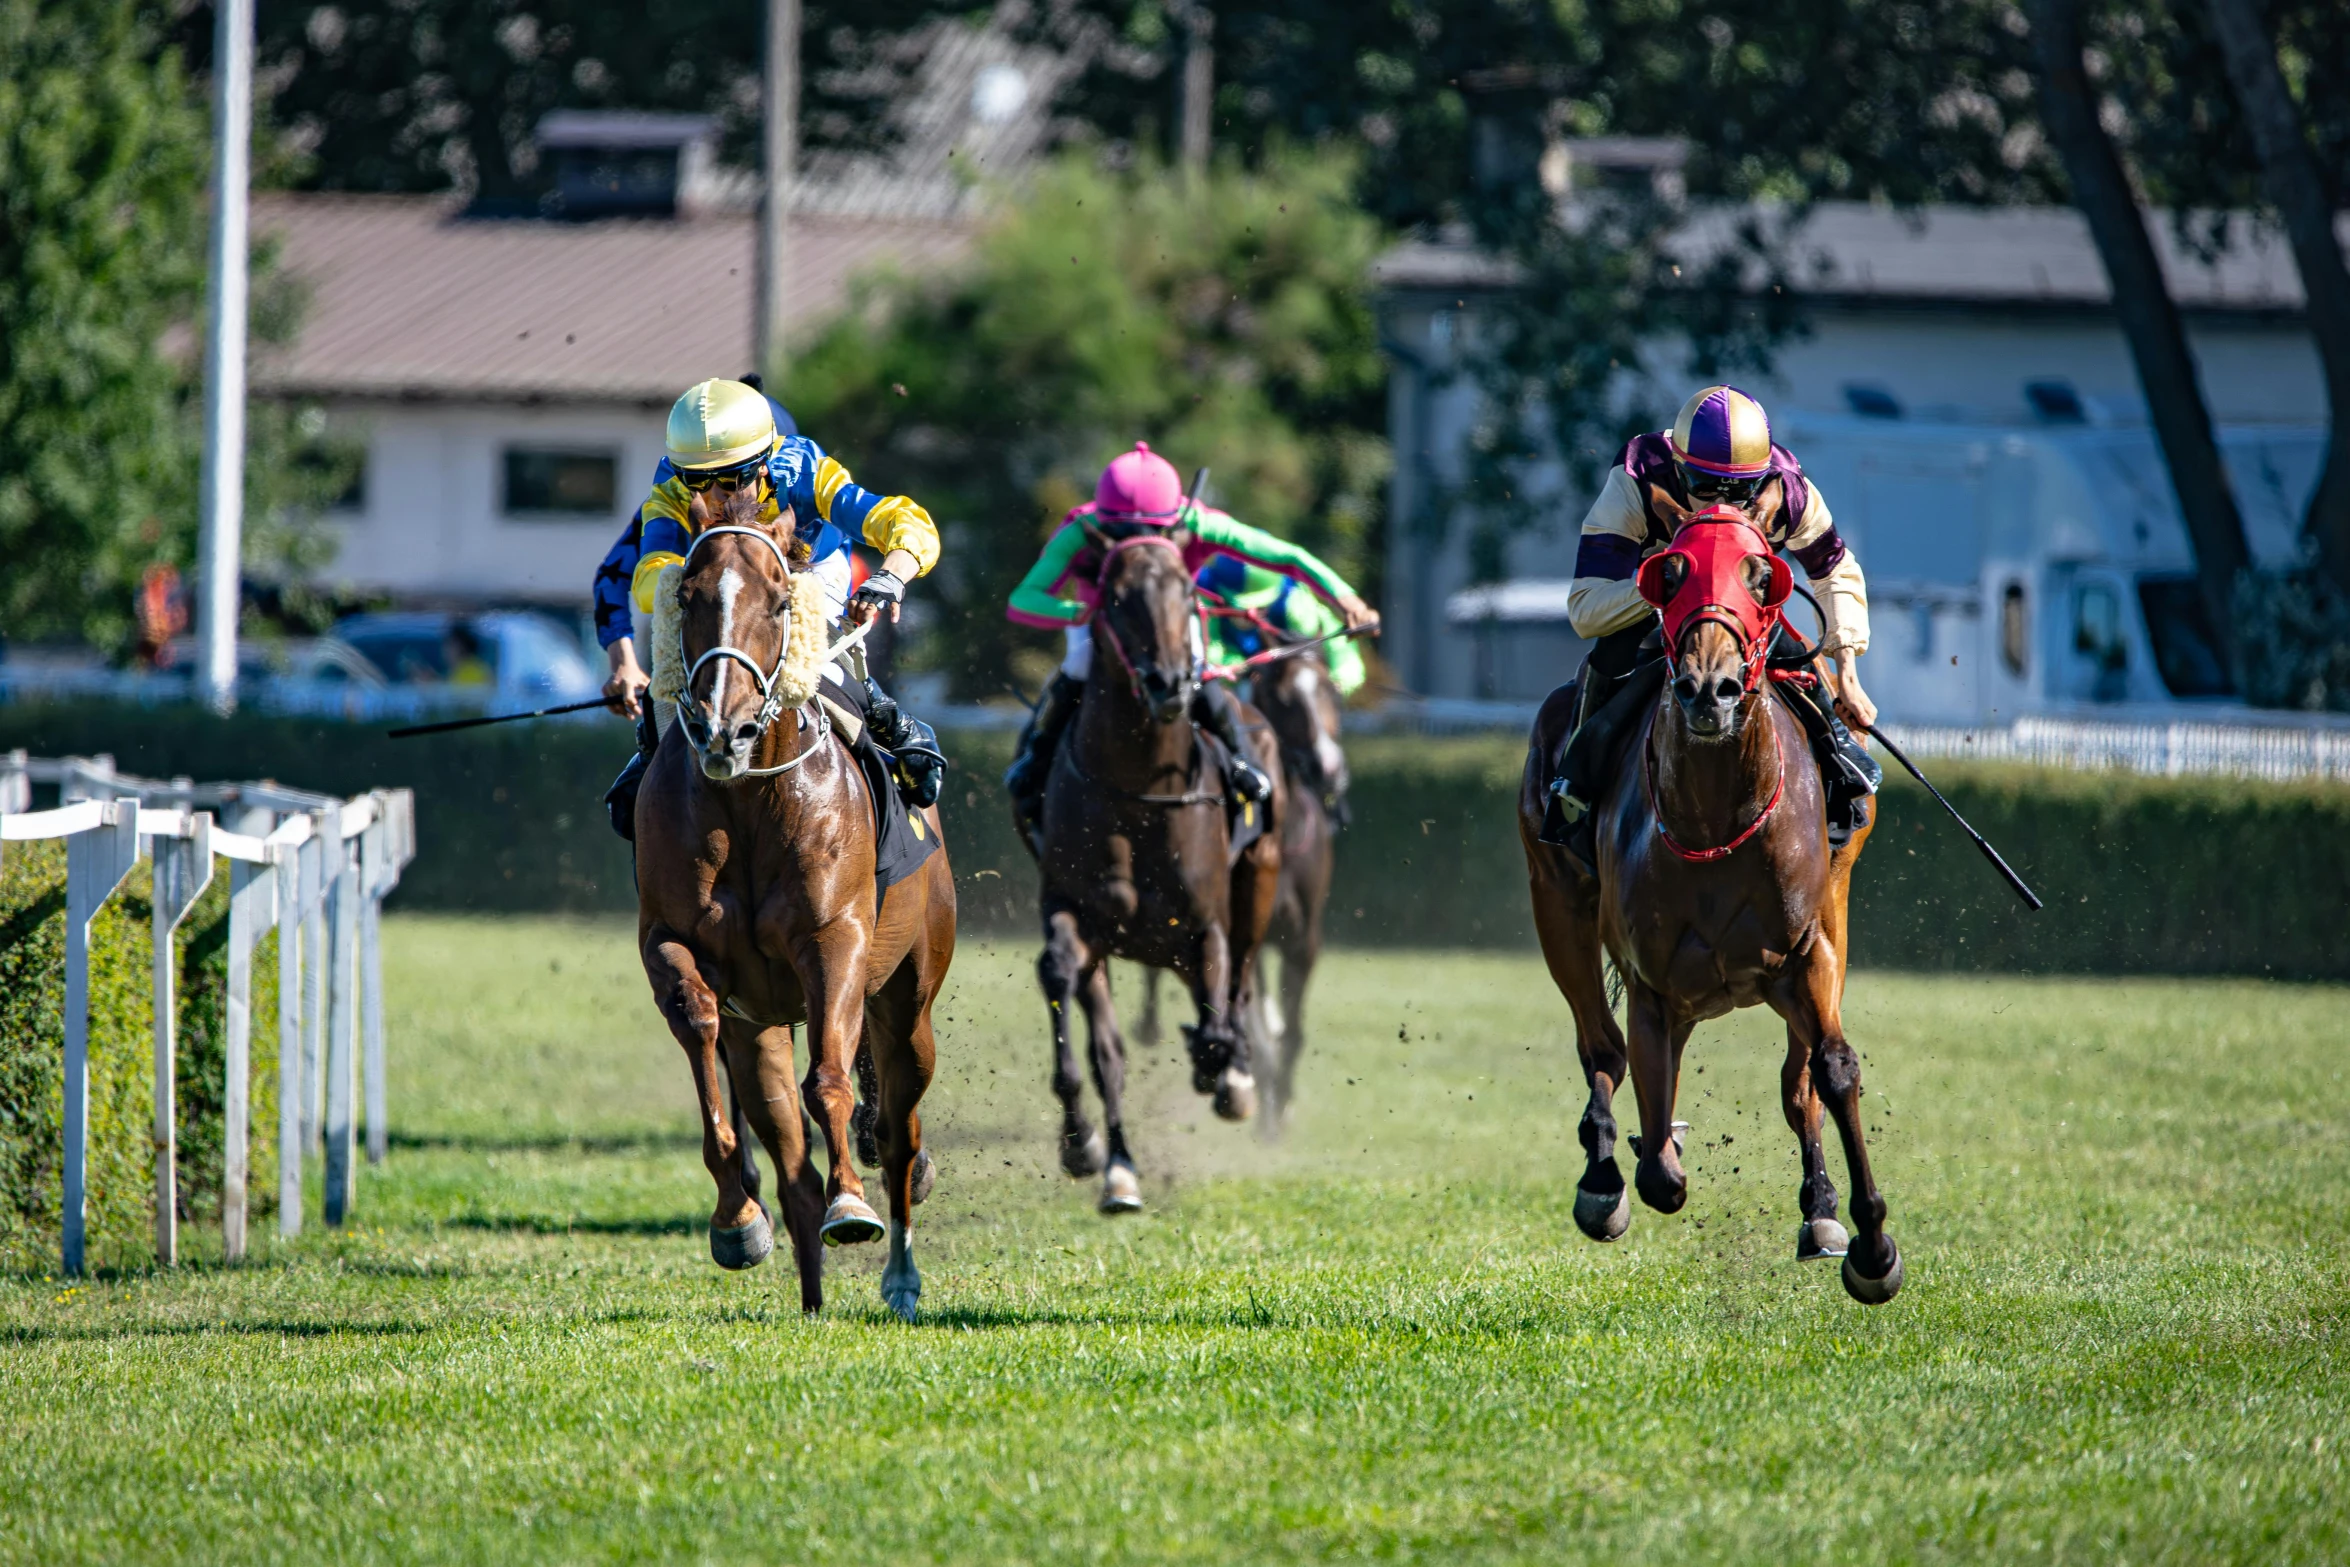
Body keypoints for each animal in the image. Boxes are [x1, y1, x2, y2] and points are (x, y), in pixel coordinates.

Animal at [1034, 526, 1278, 1212]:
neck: (1138, 789)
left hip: (1260, 880)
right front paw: (1091, 1150)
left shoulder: (1205, 927)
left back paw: (1233, 1075)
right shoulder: (1075, 916)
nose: (1170, 683)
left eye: (1188, 593)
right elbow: (1079, 1014)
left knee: (1239, 982)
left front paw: (1224, 1071)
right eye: (1116, 598)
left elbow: (1220, 1014)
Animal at [1513, 509, 1898, 1306]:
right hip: (1556, 899)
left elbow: (1832, 1071)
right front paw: (1641, 1159)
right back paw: (1604, 1176)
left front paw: (1871, 1245)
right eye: (1671, 572)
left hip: (1831, 916)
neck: (1717, 821)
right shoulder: (1654, 984)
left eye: (1760, 577)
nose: (1708, 691)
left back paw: (1819, 1208)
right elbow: (1659, 1164)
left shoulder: (1807, 951)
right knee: (1603, 1048)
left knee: (1795, 1083)